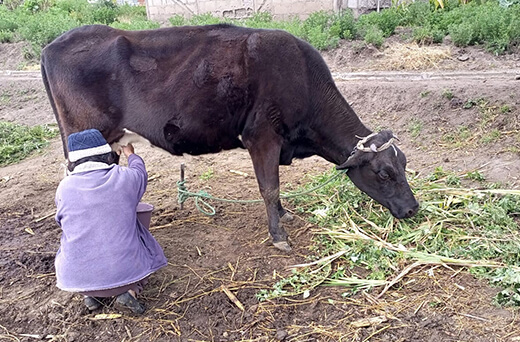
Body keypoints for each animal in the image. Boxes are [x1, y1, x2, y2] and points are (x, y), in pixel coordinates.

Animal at [42, 23, 420, 251]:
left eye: (404, 165)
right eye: (384, 173)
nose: (413, 208)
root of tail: (53, 44)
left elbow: (275, 188)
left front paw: (284, 216)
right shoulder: (262, 137)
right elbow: (270, 187)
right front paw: (279, 236)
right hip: (86, 138)